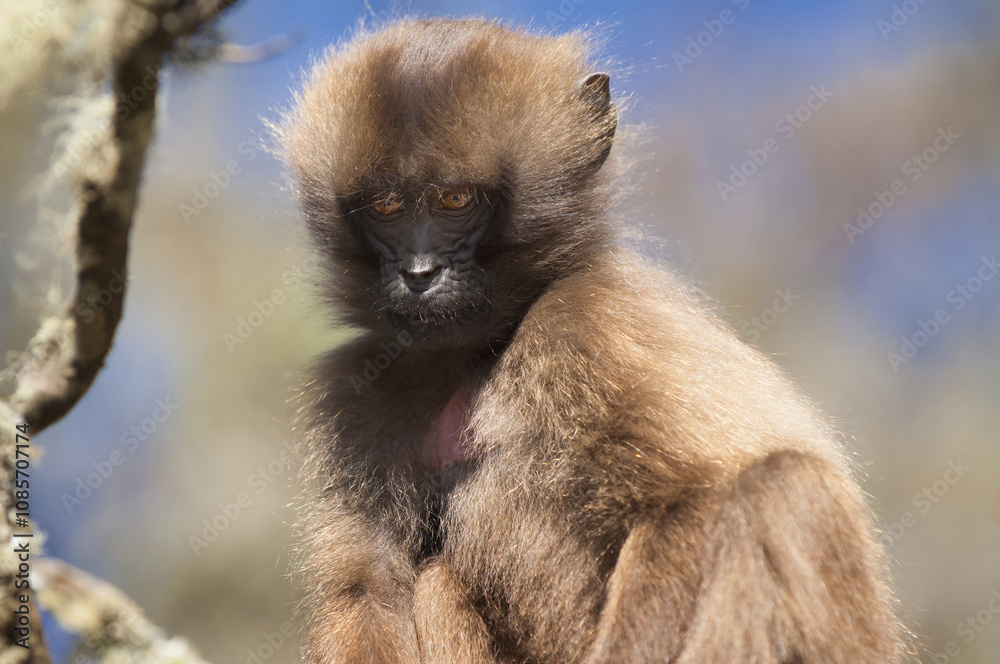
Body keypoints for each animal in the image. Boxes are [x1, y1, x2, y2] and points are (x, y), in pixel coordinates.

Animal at [277, 17, 903, 664]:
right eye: (387, 207)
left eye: (455, 201)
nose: (419, 274)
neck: (478, 354)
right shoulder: (364, 388)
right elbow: (370, 586)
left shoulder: (586, 324)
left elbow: (692, 501)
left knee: (784, 488)